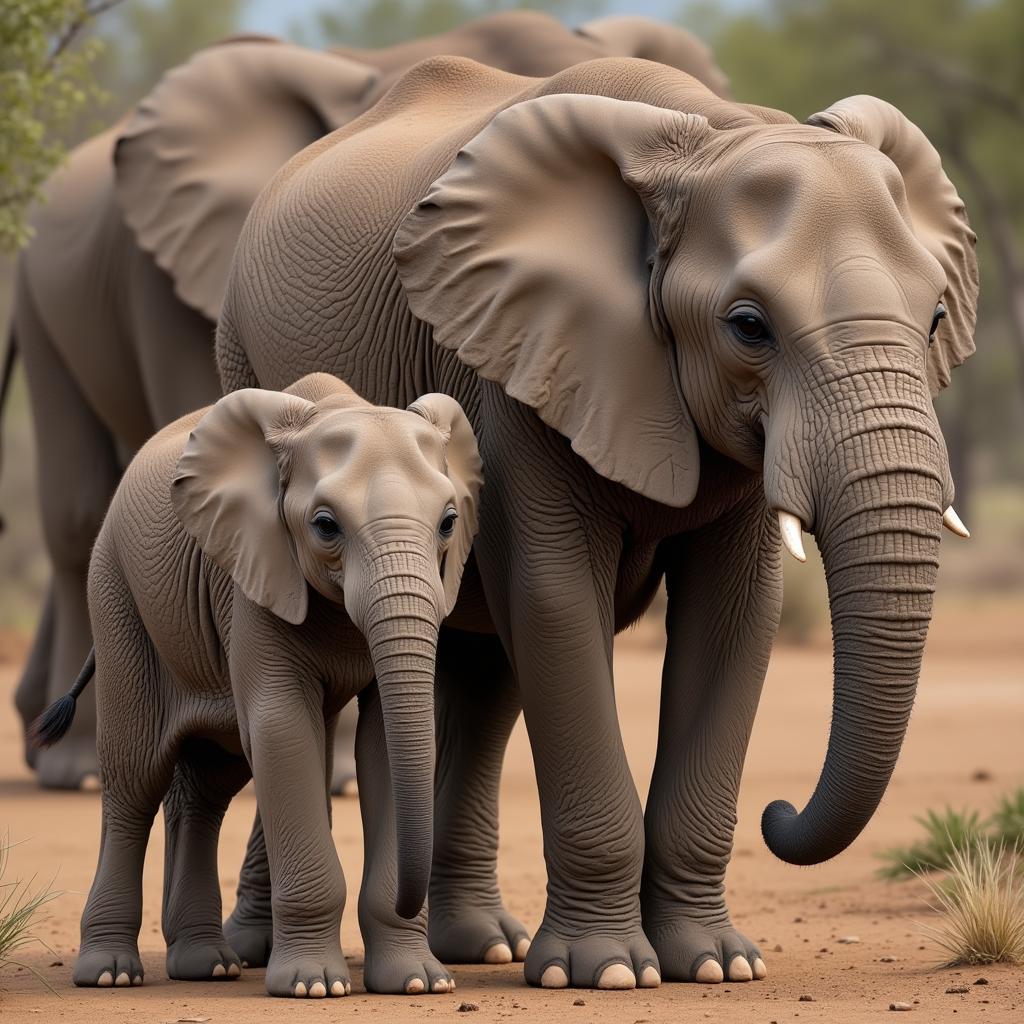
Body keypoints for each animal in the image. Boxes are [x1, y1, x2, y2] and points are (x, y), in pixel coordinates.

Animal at [33, 372, 479, 995]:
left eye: (448, 523)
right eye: (324, 526)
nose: (411, 901)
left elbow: (383, 744)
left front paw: (418, 983)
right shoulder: (253, 577)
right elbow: (281, 727)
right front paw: (314, 987)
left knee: (208, 785)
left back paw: (207, 966)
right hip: (118, 596)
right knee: (135, 779)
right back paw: (109, 974)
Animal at [218, 51, 974, 987]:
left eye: (935, 316)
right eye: (748, 327)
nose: (779, 812)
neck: (708, 136)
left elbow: (736, 616)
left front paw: (717, 965)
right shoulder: (514, 369)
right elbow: (555, 599)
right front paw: (608, 969)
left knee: (486, 678)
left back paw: (481, 945)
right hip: (241, 357)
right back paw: (258, 956)